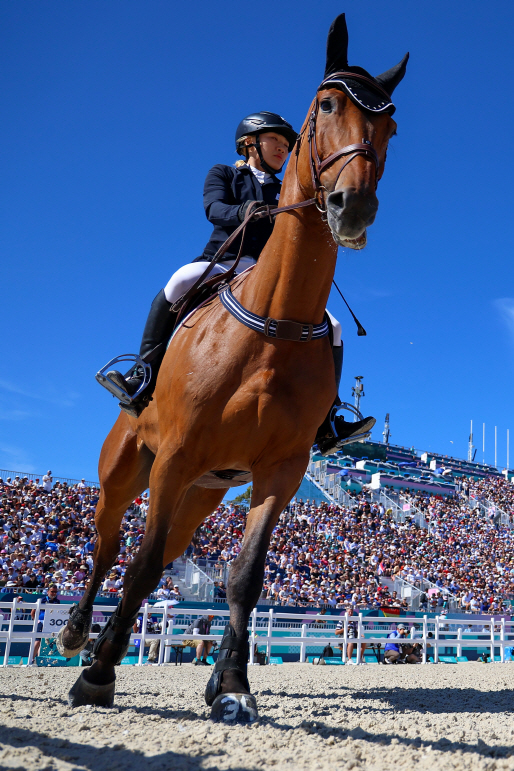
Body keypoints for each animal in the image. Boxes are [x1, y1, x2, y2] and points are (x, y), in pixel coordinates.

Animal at [58, 13, 406, 724]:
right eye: (326, 106)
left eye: (390, 128)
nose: (352, 207)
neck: (275, 322)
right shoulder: (176, 453)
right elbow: (139, 563)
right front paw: (98, 678)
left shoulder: (281, 469)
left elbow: (245, 575)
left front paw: (232, 687)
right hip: (132, 469)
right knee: (110, 544)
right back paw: (80, 638)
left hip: (203, 491)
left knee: (157, 554)